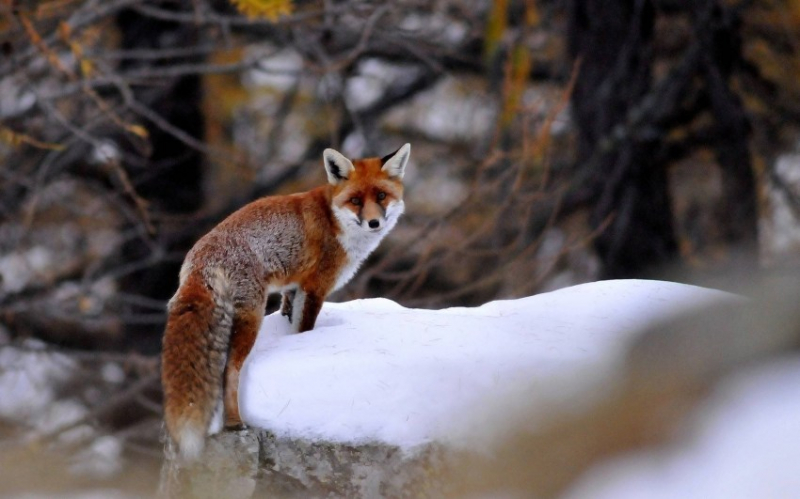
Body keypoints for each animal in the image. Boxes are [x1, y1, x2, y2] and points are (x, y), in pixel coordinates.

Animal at [162, 145, 412, 460]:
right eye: (355, 200)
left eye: (381, 196)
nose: (374, 223)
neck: (334, 220)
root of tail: (199, 258)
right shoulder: (315, 288)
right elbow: (303, 330)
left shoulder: (292, 289)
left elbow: (288, 319)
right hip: (251, 317)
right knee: (229, 371)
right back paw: (235, 424)